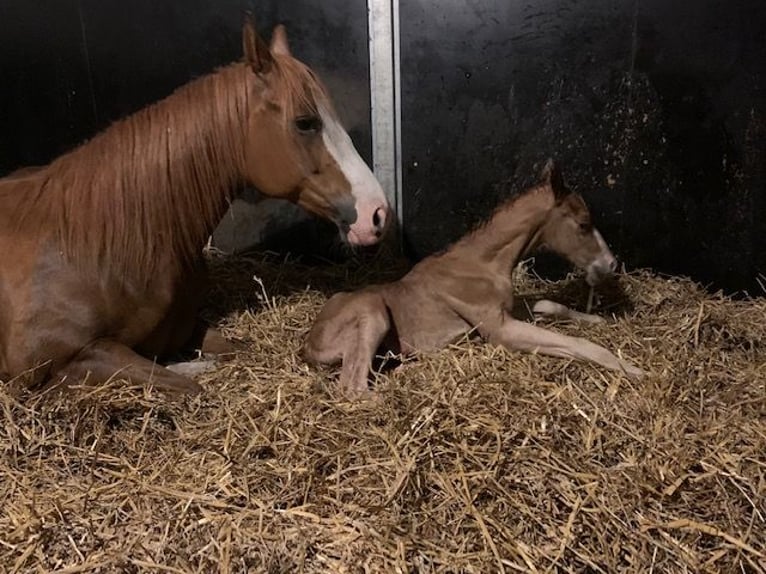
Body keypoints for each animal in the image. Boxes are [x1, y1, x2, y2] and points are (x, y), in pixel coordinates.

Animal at [306, 160, 648, 398]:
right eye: (583, 224)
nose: (611, 263)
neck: (483, 264)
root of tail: (308, 343)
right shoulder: (500, 330)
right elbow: (579, 344)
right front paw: (634, 369)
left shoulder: (509, 311)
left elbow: (552, 305)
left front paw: (598, 320)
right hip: (372, 312)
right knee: (353, 388)